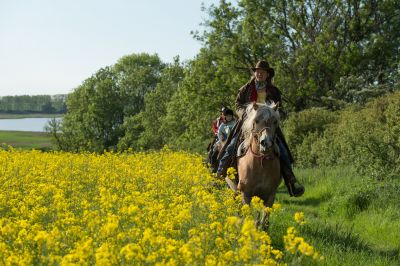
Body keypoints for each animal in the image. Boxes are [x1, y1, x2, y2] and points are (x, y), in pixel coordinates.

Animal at [228, 101, 282, 229]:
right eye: (256, 121)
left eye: (275, 121)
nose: (266, 143)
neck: (260, 164)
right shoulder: (245, 195)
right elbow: (247, 218)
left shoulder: (270, 195)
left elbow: (264, 223)